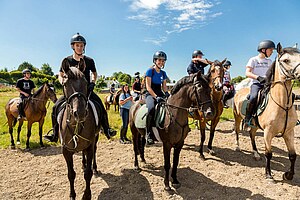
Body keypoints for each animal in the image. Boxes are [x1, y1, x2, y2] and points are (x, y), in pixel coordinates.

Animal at [234, 43, 300, 181]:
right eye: (286, 60)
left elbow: (292, 155)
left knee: (252, 135)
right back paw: (237, 147)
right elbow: (269, 154)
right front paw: (268, 174)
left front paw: (288, 175)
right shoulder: (268, 132)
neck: (282, 105)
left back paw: (256, 154)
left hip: (254, 125)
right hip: (237, 117)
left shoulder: (289, 132)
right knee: (237, 131)